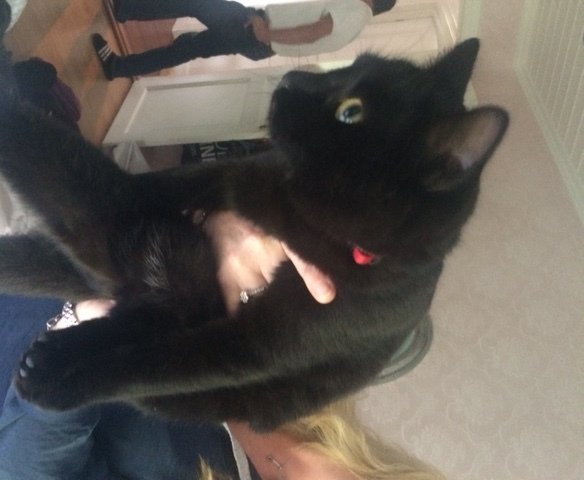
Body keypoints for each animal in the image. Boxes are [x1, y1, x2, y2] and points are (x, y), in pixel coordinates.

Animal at [0, 38, 508, 430]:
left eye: (351, 113)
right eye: (347, 66)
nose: (291, 80)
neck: (290, 213)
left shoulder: (250, 346)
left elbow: (150, 365)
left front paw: (60, 382)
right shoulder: (214, 180)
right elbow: (122, 191)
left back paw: (49, 361)